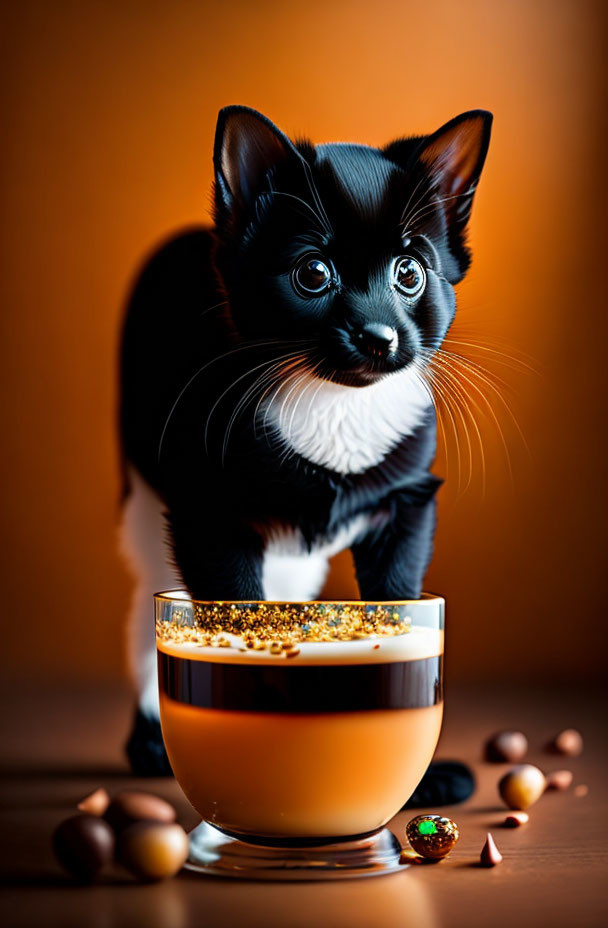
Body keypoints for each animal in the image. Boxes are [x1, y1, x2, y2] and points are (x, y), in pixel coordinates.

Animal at [120, 107, 494, 796]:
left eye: (410, 273)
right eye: (313, 274)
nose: (377, 335)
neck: (334, 401)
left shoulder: (406, 504)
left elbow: (399, 606)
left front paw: (417, 772)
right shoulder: (208, 515)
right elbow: (231, 612)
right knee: (151, 592)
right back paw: (149, 738)